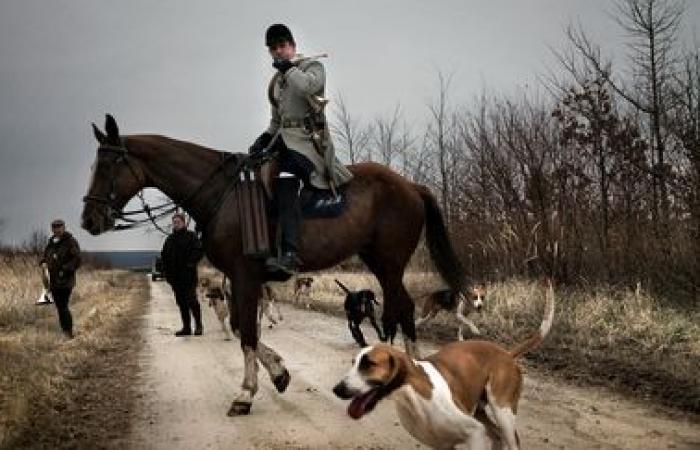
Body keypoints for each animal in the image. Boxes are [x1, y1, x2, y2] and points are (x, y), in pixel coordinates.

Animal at [80, 114, 470, 416]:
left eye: (108, 164)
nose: (88, 219)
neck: (224, 195)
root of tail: (411, 185)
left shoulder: (244, 275)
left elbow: (247, 334)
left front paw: (246, 394)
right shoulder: (238, 279)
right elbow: (241, 326)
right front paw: (279, 373)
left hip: (389, 264)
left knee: (398, 311)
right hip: (379, 261)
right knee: (402, 309)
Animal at [332, 284, 552, 448]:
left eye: (369, 364)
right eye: (354, 363)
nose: (337, 390)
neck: (412, 396)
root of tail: (506, 353)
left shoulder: (475, 433)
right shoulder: (444, 444)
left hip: (502, 411)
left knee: (511, 439)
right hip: (482, 411)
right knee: (497, 436)